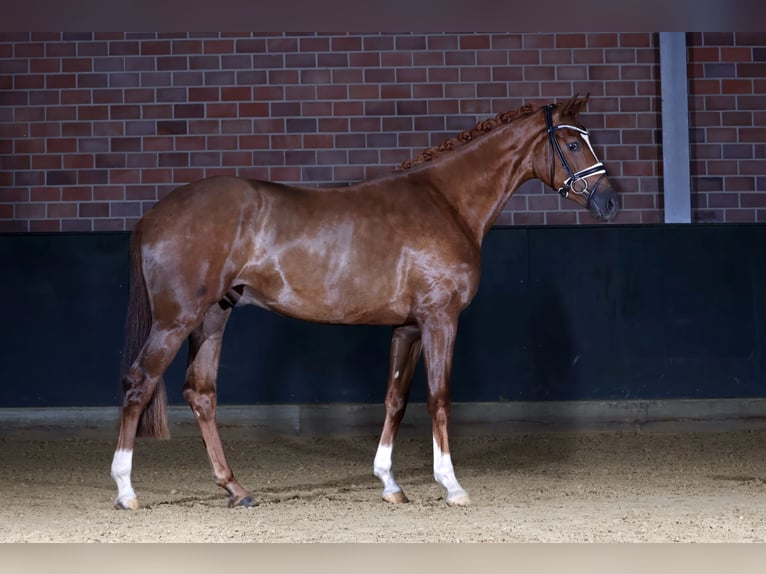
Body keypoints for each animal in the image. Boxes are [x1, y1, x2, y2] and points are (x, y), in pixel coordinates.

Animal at [110, 94, 618, 510]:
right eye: (573, 145)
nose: (610, 203)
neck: (445, 202)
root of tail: (154, 214)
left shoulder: (408, 327)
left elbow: (396, 399)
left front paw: (390, 483)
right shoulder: (440, 320)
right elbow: (439, 397)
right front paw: (451, 485)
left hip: (213, 318)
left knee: (201, 394)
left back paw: (235, 489)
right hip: (176, 321)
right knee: (138, 383)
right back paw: (126, 490)